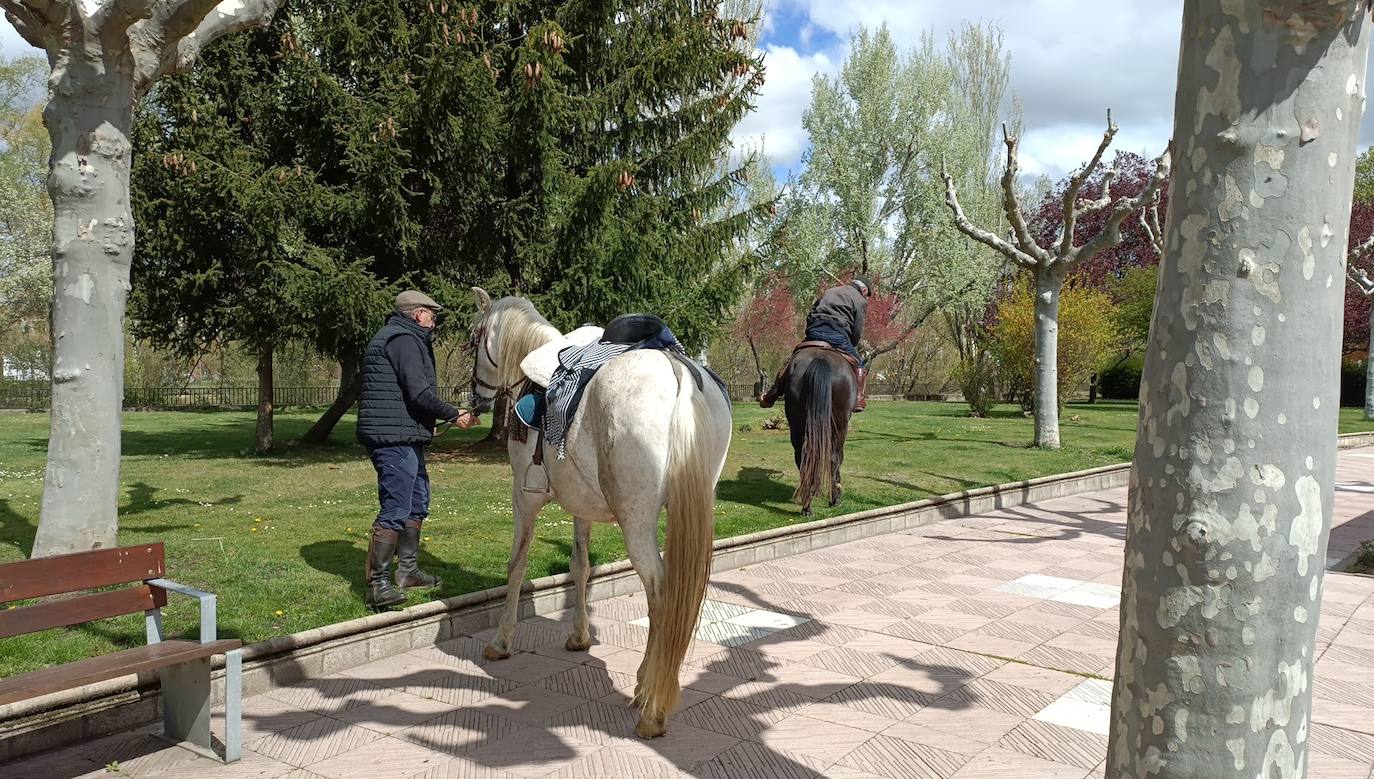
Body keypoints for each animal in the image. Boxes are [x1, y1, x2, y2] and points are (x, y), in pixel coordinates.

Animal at [464, 289, 730, 741]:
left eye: (474, 337)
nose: (474, 398)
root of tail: (677, 373)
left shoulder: (524, 498)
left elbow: (516, 565)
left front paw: (502, 641)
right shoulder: (580, 507)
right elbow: (581, 566)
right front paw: (579, 635)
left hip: (637, 521)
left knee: (661, 592)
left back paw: (650, 701)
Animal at [785, 347, 857, 519]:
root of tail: (820, 359)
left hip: (797, 425)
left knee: (803, 458)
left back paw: (807, 505)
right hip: (840, 426)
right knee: (834, 458)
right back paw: (834, 499)